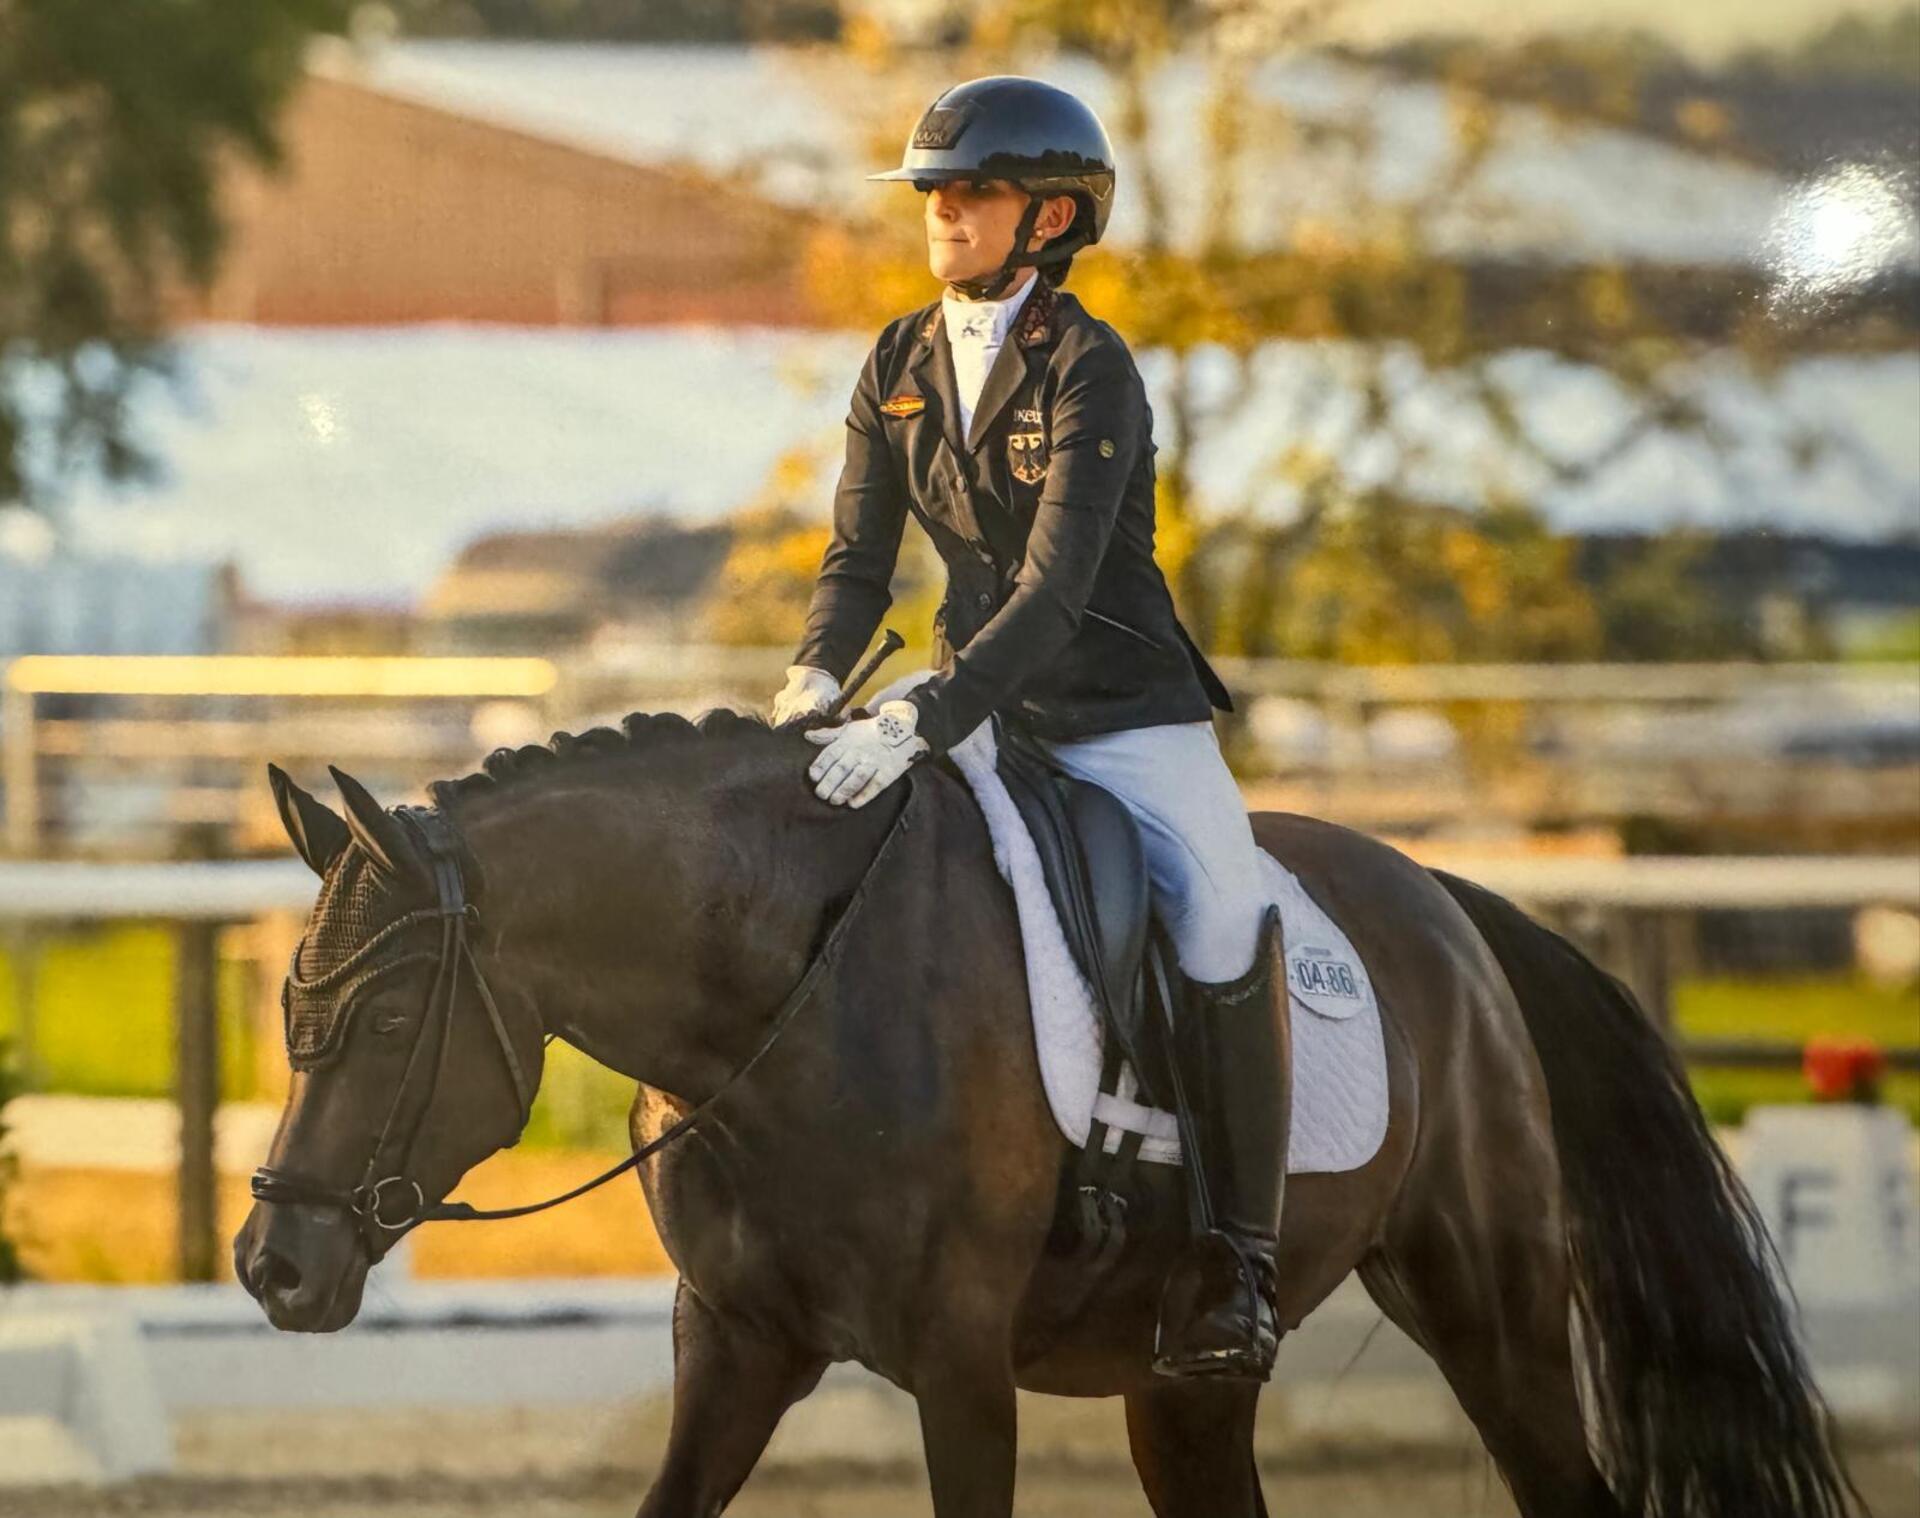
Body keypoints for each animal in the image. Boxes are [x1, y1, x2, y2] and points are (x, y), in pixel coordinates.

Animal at [236, 713, 1858, 1518]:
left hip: (1494, 1308)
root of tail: (1446, 898)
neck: (794, 997)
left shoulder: (962, 1364)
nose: (273, 1269)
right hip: (1184, 1383)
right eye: (292, 1008)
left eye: (392, 1024)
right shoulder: (736, 1343)